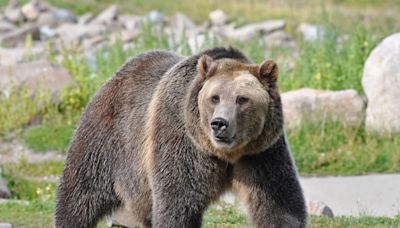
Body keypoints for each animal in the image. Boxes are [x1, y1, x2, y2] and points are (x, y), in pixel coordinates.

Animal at [55, 47, 306, 227]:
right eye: (215, 97)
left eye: (242, 99)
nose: (219, 124)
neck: (225, 154)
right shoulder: (181, 141)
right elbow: (178, 203)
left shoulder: (261, 152)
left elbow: (279, 204)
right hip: (107, 141)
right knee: (79, 195)